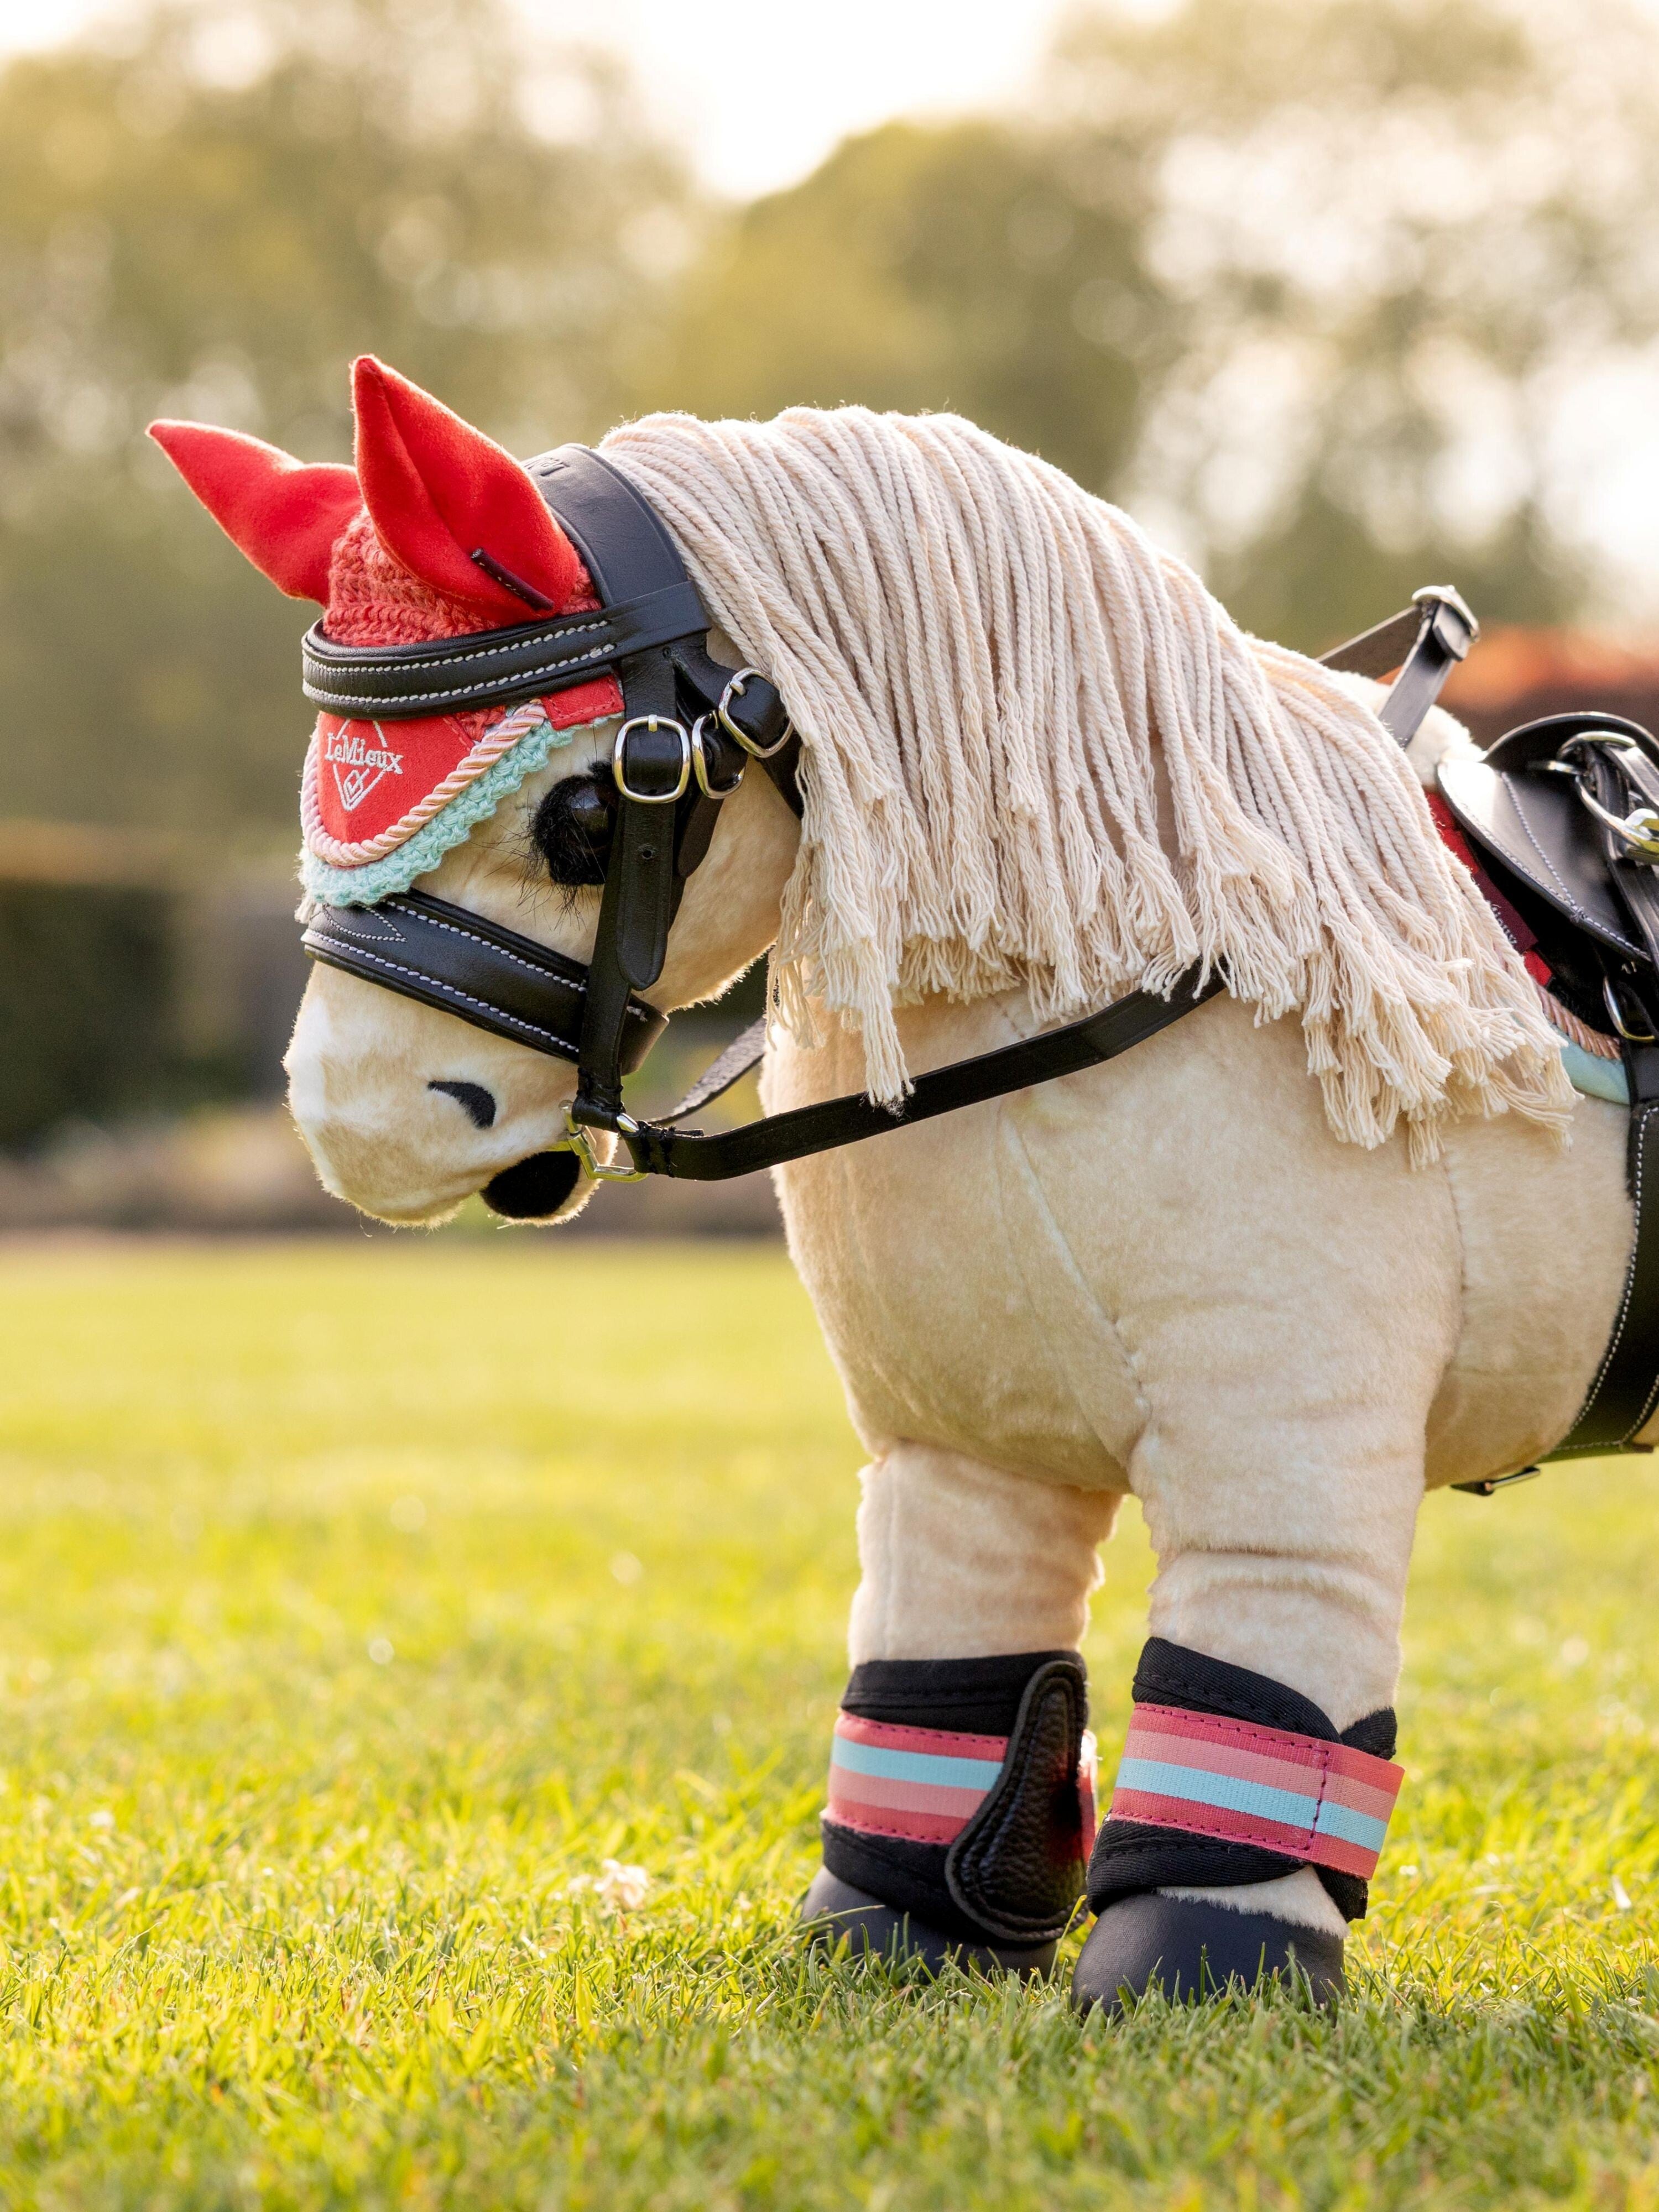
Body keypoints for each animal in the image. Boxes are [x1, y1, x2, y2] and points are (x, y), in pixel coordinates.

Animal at [150, 358, 1642, 2012]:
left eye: (588, 811)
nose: (353, 1121)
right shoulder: (959, 1437)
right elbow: (950, 1674)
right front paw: (890, 1937)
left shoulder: (1289, 1442)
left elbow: (1257, 1684)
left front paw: (1198, 1974)